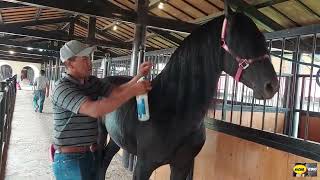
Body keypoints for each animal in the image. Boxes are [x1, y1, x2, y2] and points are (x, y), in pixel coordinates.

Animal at [99, 7, 278, 180]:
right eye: (239, 40)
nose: (272, 86)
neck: (172, 110)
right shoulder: (143, 166)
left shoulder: (182, 166)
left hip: (116, 138)